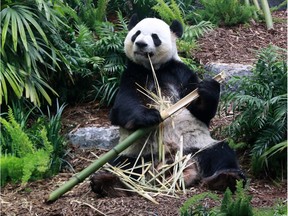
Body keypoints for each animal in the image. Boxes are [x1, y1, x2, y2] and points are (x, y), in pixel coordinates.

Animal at [90, 14, 245, 197]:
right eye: (136, 34)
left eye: (155, 37)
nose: (140, 44)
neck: (153, 68)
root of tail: (171, 163)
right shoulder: (132, 74)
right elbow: (121, 108)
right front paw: (150, 116)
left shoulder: (180, 72)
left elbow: (201, 112)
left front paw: (208, 88)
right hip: (137, 154)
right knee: (121, 164)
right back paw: (106, 181)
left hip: (197, 146)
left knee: (220, 152)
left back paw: (227, 178)